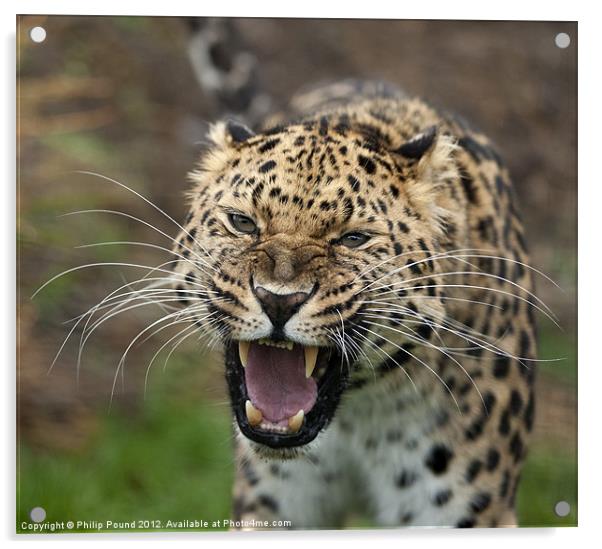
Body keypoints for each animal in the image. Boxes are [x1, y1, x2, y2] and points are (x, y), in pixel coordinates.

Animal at [168, 75, 536, 528]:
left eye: (353, 238)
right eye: (242, 223)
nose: (278, 300)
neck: (360, 413)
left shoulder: (463, 513)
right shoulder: (277, 503)